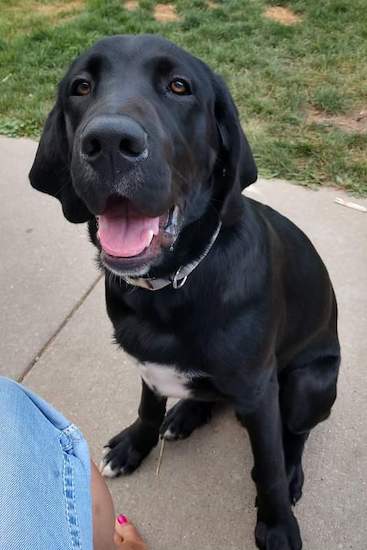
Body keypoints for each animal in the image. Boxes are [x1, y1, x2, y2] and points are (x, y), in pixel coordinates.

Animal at [30, 35, 340, 550]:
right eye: (81, 86)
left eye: (179, 86)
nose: (109, 142)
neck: (171, 284)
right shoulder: (147, 362)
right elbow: (148, 406)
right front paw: (135, 444)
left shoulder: (260, 389)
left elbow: (269, 467)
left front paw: (277, 524)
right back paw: (186, 414)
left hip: (309, 382)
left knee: (295, 435)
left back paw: (292, 467)